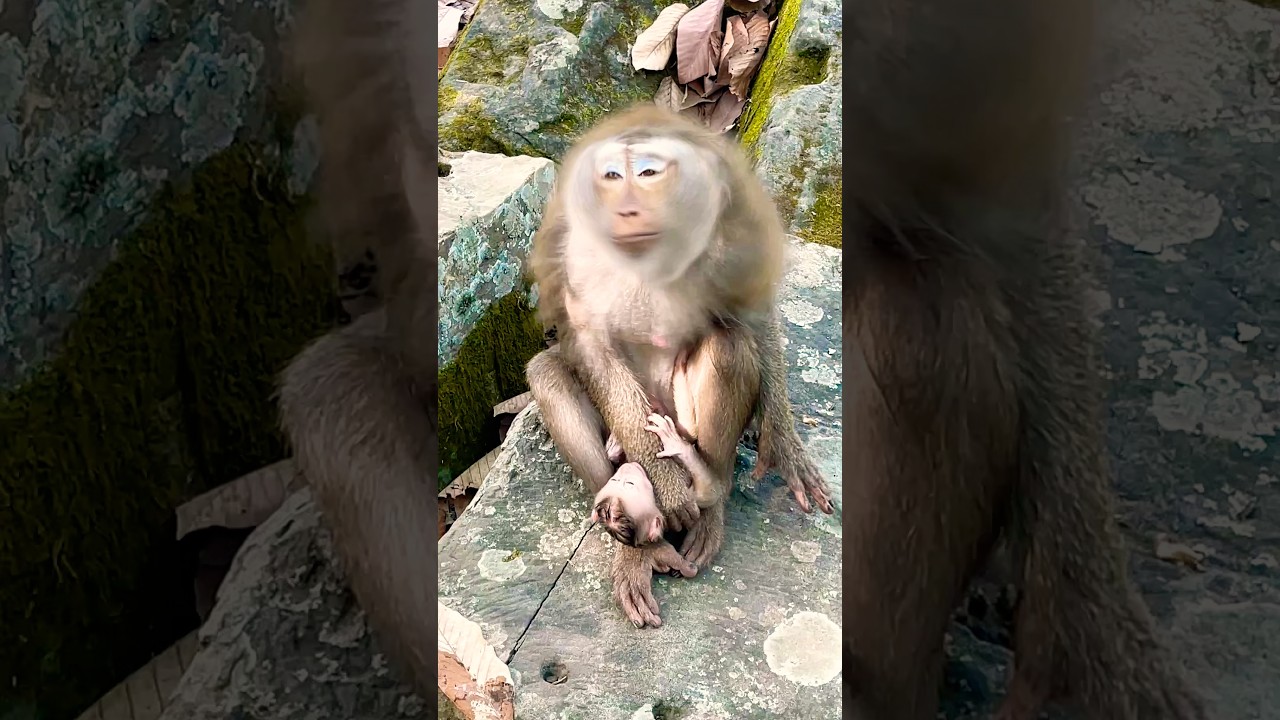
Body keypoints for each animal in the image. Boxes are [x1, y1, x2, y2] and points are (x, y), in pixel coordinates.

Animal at [525, 104, 833, 628]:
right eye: (612, 176)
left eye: (649, 173)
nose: (627, 209)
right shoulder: (576, 244)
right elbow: (591, 341)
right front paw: (667, 495)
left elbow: (750, 305)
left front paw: (783, 442)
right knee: (551, 377)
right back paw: (639, 547)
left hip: (683, 416)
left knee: (729, 347)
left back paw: (710, 509)